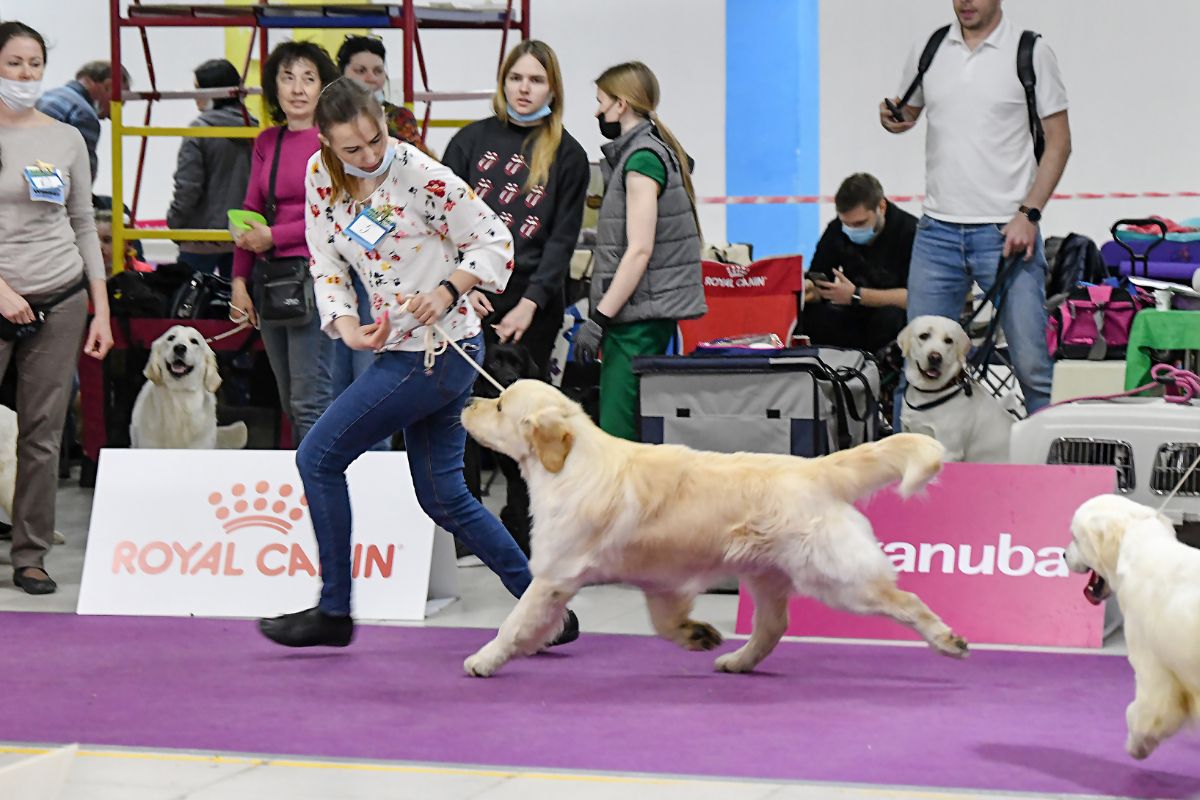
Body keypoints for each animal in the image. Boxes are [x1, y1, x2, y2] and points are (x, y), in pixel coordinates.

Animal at [453, 381, 969, 676]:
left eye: (499, 406)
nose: (469, 399)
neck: (569, 463)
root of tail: (816, 468)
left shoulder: (555, 576)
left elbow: (515, 621)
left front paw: (484, 658)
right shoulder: (660, 581)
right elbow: (664, 623)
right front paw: (696, 634)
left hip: (838, 578)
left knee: (905, 600)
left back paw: (949, 640)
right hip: (766, 575)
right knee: (772, 627)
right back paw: (737, 661)